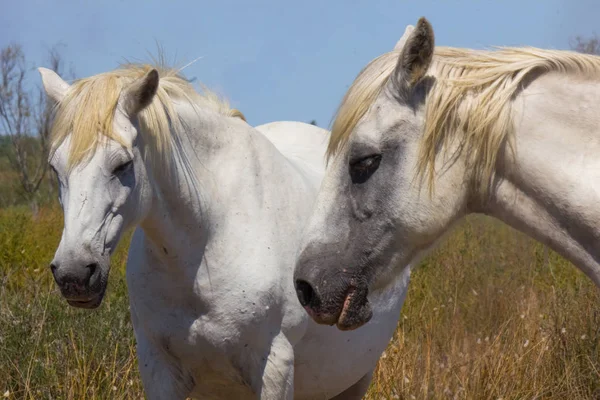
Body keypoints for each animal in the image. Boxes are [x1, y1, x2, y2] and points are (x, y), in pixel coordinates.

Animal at [39, 60, 406, 400]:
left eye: (122, 165)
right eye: (55, 168)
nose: (74, 274)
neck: (209, 238)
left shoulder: (274, 368)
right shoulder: (159, 368)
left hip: (355, 378)